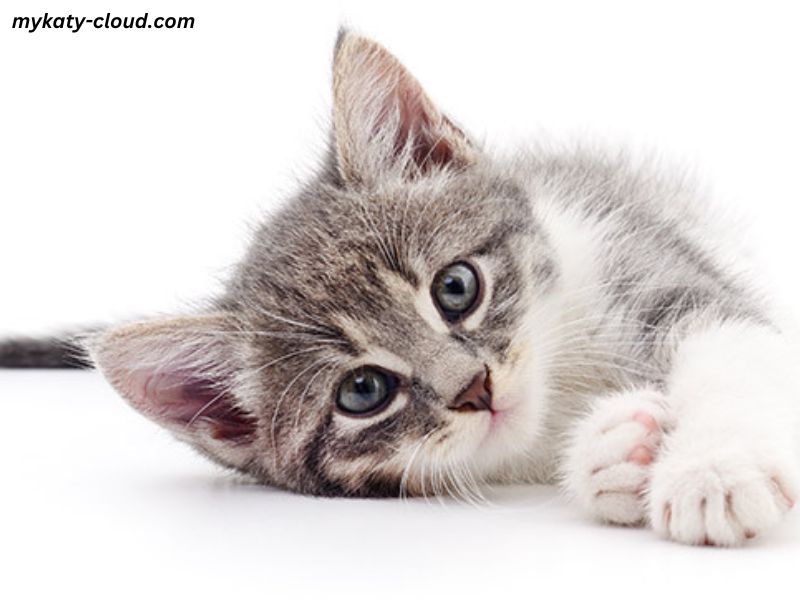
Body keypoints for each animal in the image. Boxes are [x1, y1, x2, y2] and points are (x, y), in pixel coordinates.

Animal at [1, 30, 800, 548]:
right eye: (362, 392)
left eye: (456, 288)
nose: (475, 387)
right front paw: (614, 451)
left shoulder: (650, 259)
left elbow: (733, 350)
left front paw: (713, 468)